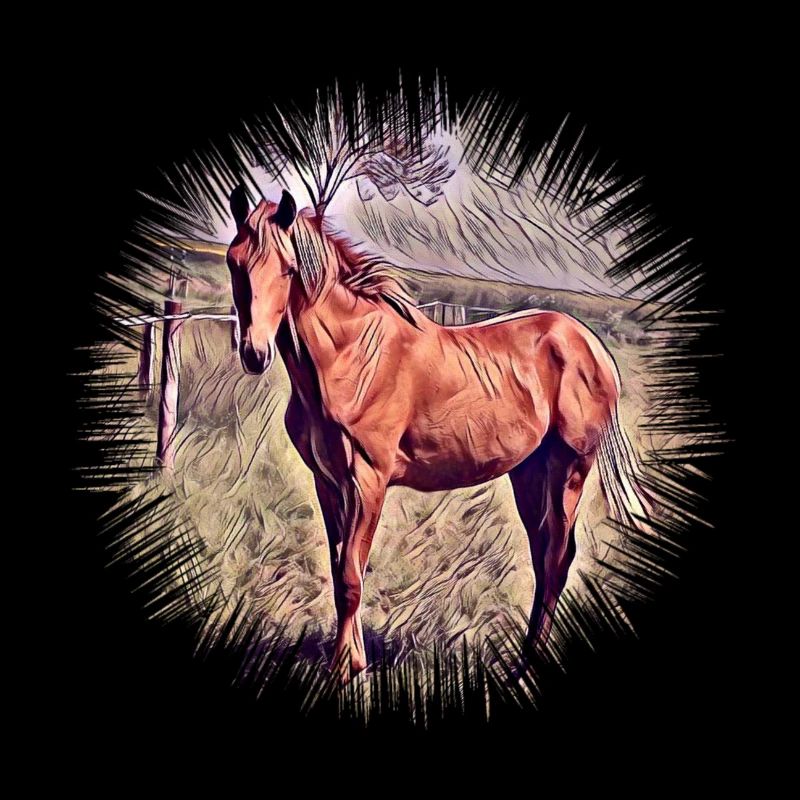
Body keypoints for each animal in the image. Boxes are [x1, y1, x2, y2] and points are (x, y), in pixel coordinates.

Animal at [226, 186, 652, 682]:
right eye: (235, 262)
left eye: (288, 268)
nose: (254, 353)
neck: (353, 357)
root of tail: (589, 344)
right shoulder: (328, 483)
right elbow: (339, 569)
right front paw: (352, 660)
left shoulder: (367, 482)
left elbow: (352, 576)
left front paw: (343, 672)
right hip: (529, 471)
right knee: (544, 556)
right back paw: (521, 663)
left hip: (570, 467)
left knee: (557, 559)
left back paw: (528, 668)